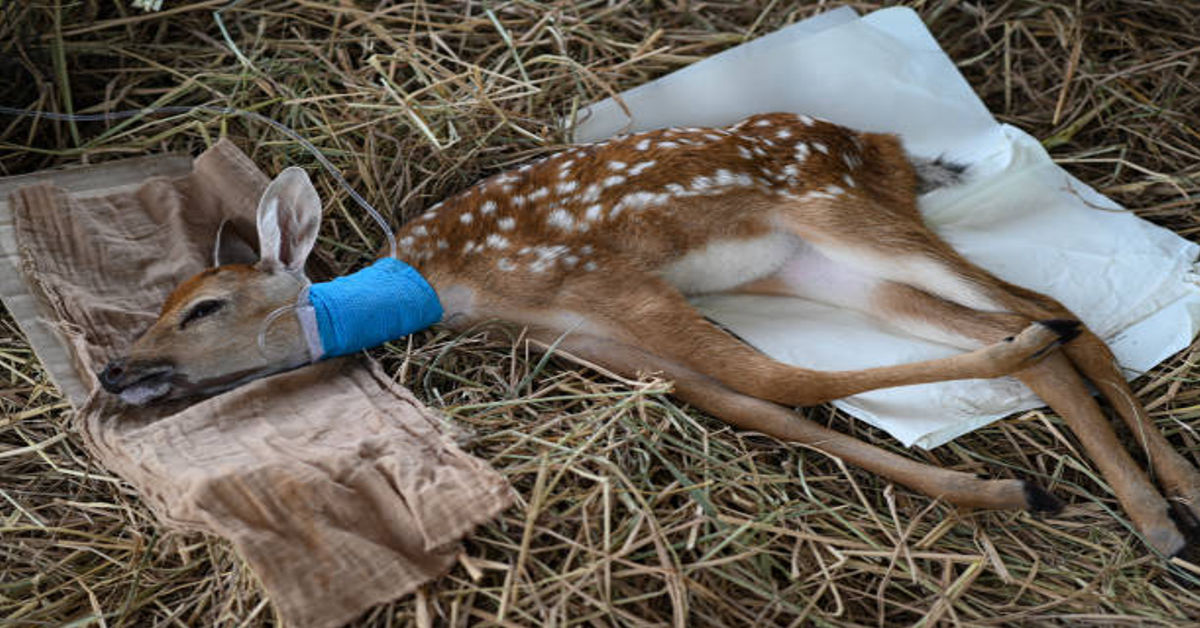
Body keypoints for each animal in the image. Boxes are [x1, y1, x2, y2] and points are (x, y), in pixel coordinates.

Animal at [98, 112, 1200, 558]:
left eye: (202, 307)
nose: (115, 370)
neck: (455, 285)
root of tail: (884, 144)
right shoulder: (598, 340)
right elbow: (753, 402)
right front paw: (1003, 491)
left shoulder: (609, 280)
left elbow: (779, 382)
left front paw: (1019, 482)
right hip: (817, 265)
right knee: (1044, 318)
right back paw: (1158, 504)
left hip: (839, 210)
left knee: (1049, 312)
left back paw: (1162, 503)